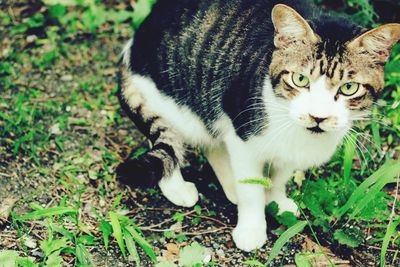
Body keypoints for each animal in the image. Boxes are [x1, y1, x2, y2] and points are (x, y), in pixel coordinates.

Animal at [115, 0, 400, 251]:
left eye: (349, 88)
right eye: (299, 79)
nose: (318, 117)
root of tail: (130, 46)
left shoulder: (284, 150)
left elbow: (280, 177)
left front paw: (276, 201)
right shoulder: (243, 135)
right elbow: (251, 189)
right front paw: (252, 228)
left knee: (212, 144)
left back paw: (230, 185)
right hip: (178, 106)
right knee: (170, 140)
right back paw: (178, 187)